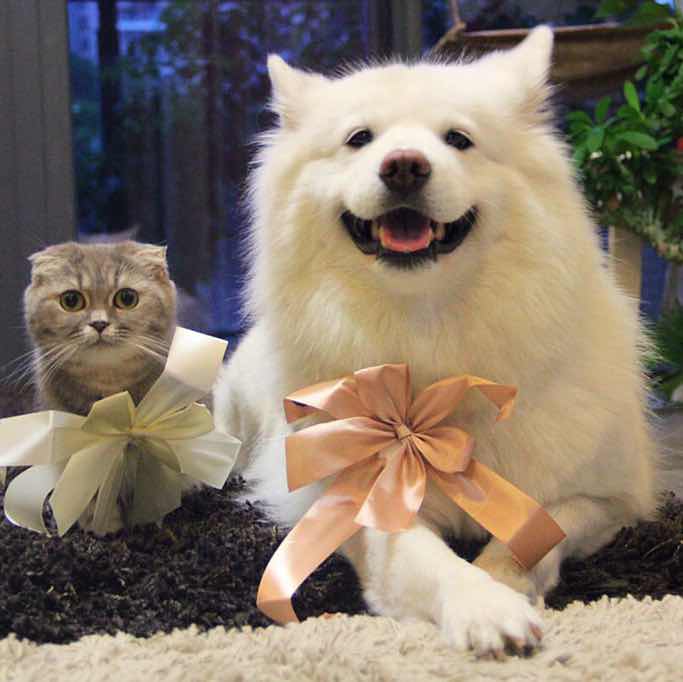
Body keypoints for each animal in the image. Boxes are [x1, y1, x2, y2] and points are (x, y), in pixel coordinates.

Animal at [213, 26, 657, 655]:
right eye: (359, 139)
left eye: (458, 139)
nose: (404, 166)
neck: (429, 330)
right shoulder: (362, 507)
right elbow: (430, 560)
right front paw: (484, 606)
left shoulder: (606, 501)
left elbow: (535, 533)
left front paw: (504, 585)